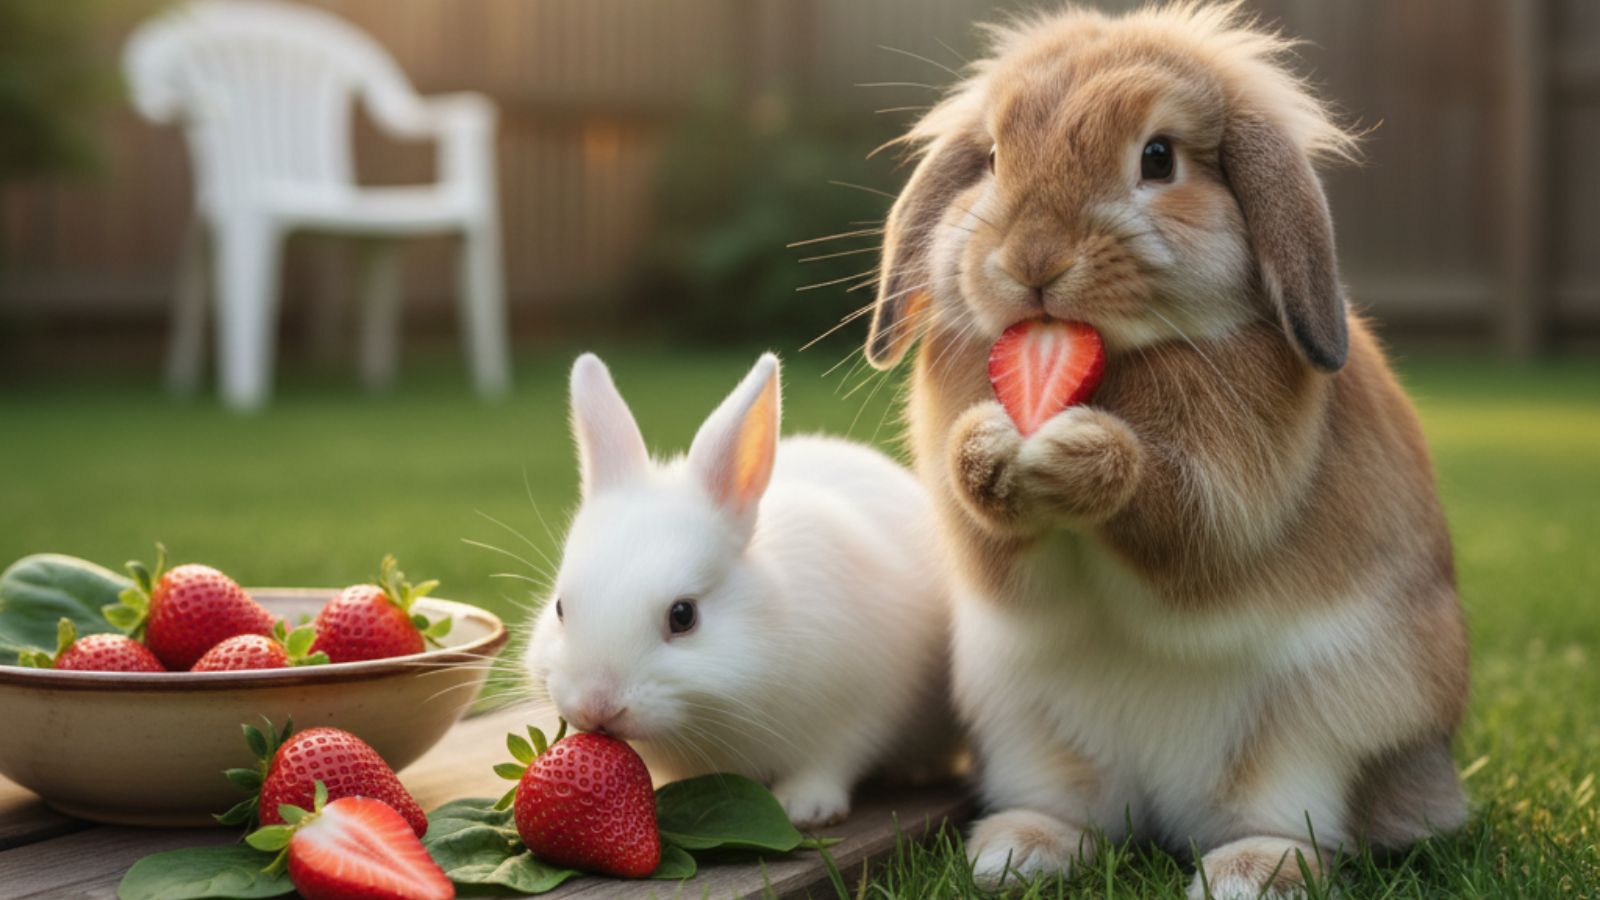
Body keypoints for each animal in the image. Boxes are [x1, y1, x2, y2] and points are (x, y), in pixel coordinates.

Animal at [522, 352, 957, 828]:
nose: (596, 706)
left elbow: (831, 760)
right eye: (560, 608)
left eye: (683, 615)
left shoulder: (859, 710)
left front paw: (805, 808)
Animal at [859, 4, 1468, 897]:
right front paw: (989, 446)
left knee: (1300, 823)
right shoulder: (983, 550)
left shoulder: (1227, 499)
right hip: (1027, 729)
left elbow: (1175, 517)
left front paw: (1076, 454)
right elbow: (993, 536)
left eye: (1158, 158)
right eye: (995, 157)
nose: (1032, 260)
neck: (1118, 359)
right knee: (1082, 813)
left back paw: (1250, 871)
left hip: (1320, 736)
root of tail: (1165, 809)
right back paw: (1016, 852)